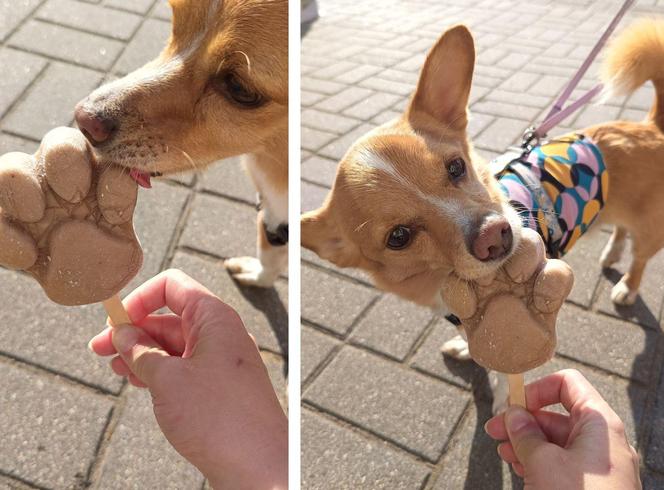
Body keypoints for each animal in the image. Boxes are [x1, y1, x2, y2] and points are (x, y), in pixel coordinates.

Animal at [75, 0, 288, 288]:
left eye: (239, 87)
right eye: (175, 24)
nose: (84, 120)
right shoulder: (274, 214)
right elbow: (270, 253)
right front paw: (258, 276)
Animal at [304, 20, 664, 372]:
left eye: (456, 167)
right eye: (398, 237)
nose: (494, 235)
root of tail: (652, 127)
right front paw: (465, 348)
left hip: (650, 232)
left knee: (640, 259)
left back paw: (627, 288)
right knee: (621, 229)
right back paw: (612, 253)